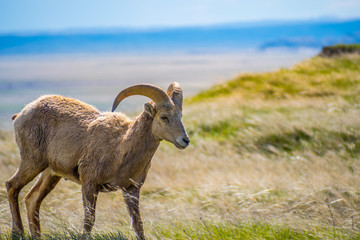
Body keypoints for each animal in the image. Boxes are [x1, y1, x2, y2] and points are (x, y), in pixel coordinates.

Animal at [5, 82, 190, 238]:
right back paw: (18, 233)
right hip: (32, 162)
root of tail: (20, 115)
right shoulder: (89, 185)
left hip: (51, 174)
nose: (185, 140)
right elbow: (89, 221)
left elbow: (138, 224)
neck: (120, 148)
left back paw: (36, 235)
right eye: (164, 117)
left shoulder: (131, 190)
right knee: (12, 186)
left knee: (32, 199)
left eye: (180, 115)